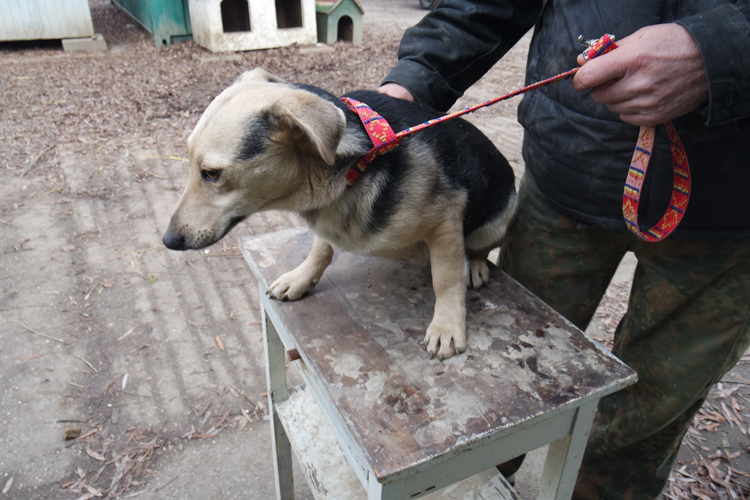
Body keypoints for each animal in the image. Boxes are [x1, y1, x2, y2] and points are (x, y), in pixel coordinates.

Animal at [163, 68, 517, 360]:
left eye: (211, 173)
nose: (168, 241)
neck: (351, 166)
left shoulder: (446, 218)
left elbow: (445, 279)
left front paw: (446, 326)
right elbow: (321, 247)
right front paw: (301, 277)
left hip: (498, 220)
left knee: (478, 249)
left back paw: (475, 266)